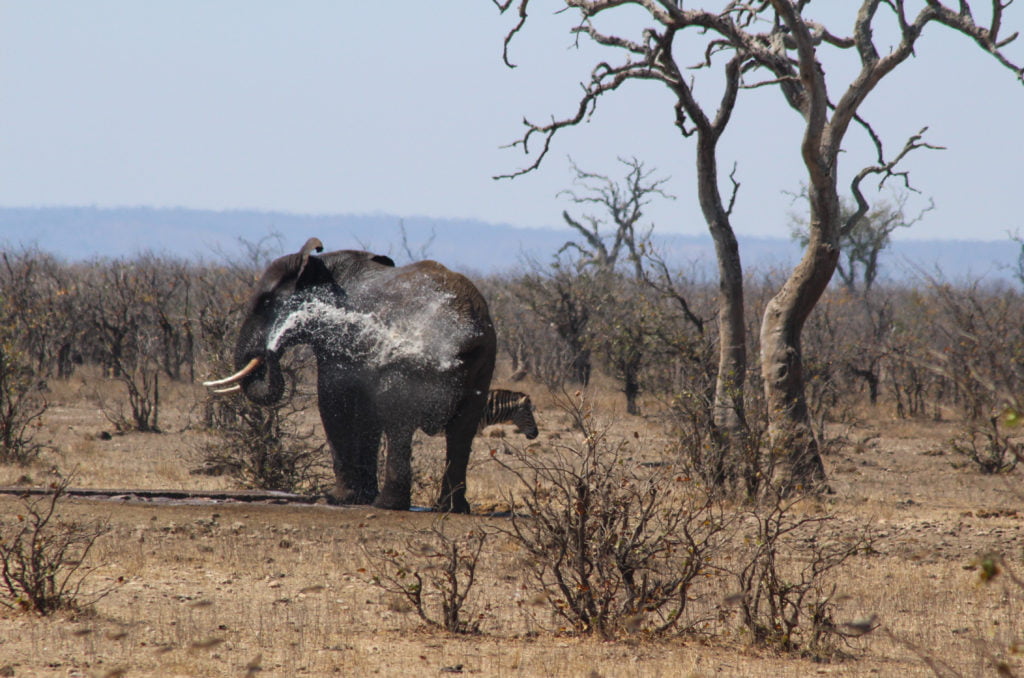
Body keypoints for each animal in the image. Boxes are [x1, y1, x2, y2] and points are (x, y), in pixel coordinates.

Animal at [204, 238, 496, 513]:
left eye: (266, 302)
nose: (270, 347)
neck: (320, 265)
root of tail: (467, 328)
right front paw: (358, 497)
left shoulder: (338, 341)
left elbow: (333, 400)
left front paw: (336, 498)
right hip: (483, 365)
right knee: (462, 431)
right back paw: (451, 508)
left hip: (413, 359)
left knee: (399, 421)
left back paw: (387, 505)